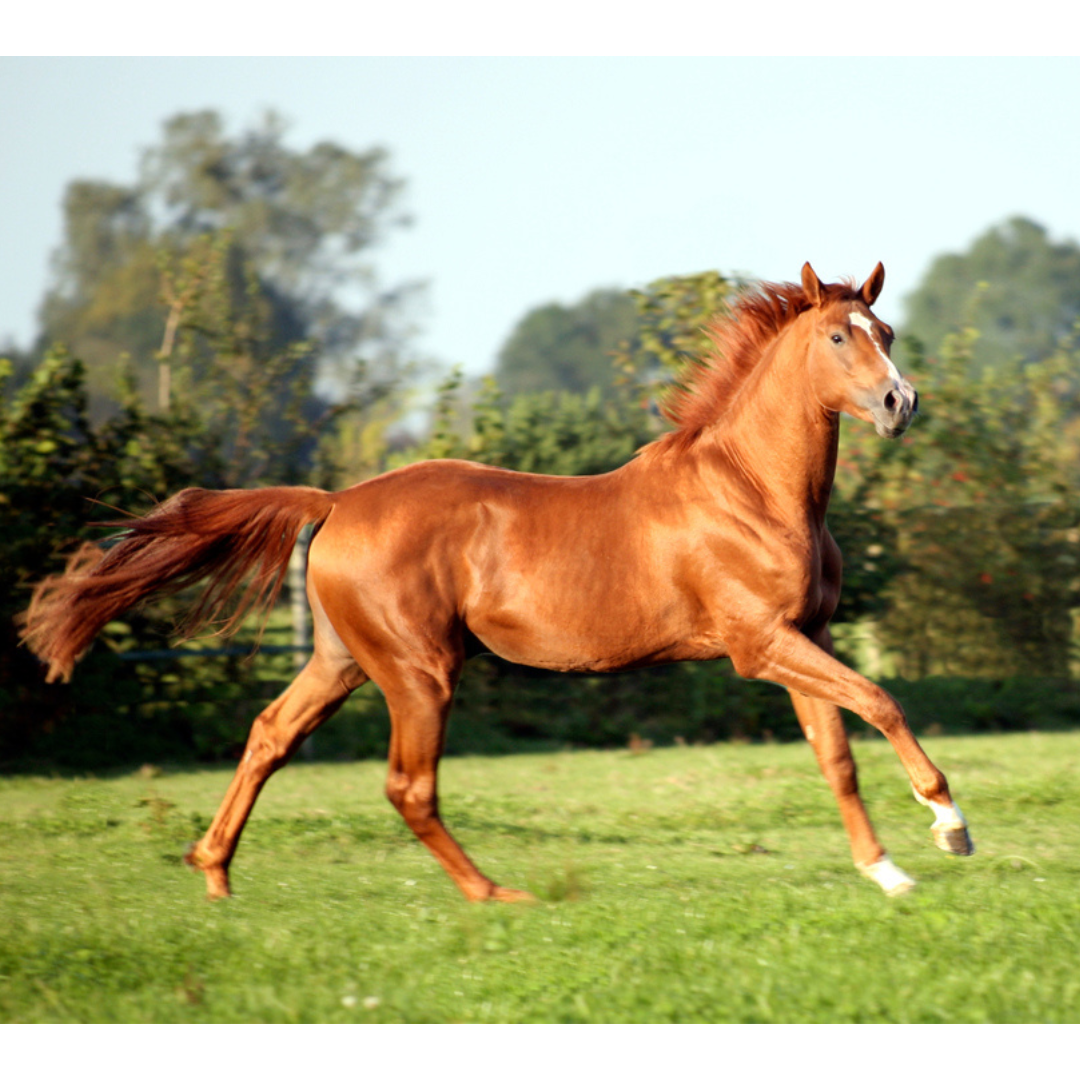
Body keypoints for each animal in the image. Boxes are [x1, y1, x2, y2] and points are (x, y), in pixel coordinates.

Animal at [20, 262, 974, 903]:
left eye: (887, 333)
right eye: (838, 336)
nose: (900, 404)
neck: (753, 492)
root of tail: (337, 501)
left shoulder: (802, 637)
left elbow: (836, 752)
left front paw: (886, 872)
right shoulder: (759, 645)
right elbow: (881, 701)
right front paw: (948, 824)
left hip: (343, 661)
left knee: (269, 736)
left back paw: (214, 871)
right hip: (419, 671)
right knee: (407, 786)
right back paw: (493, 894)